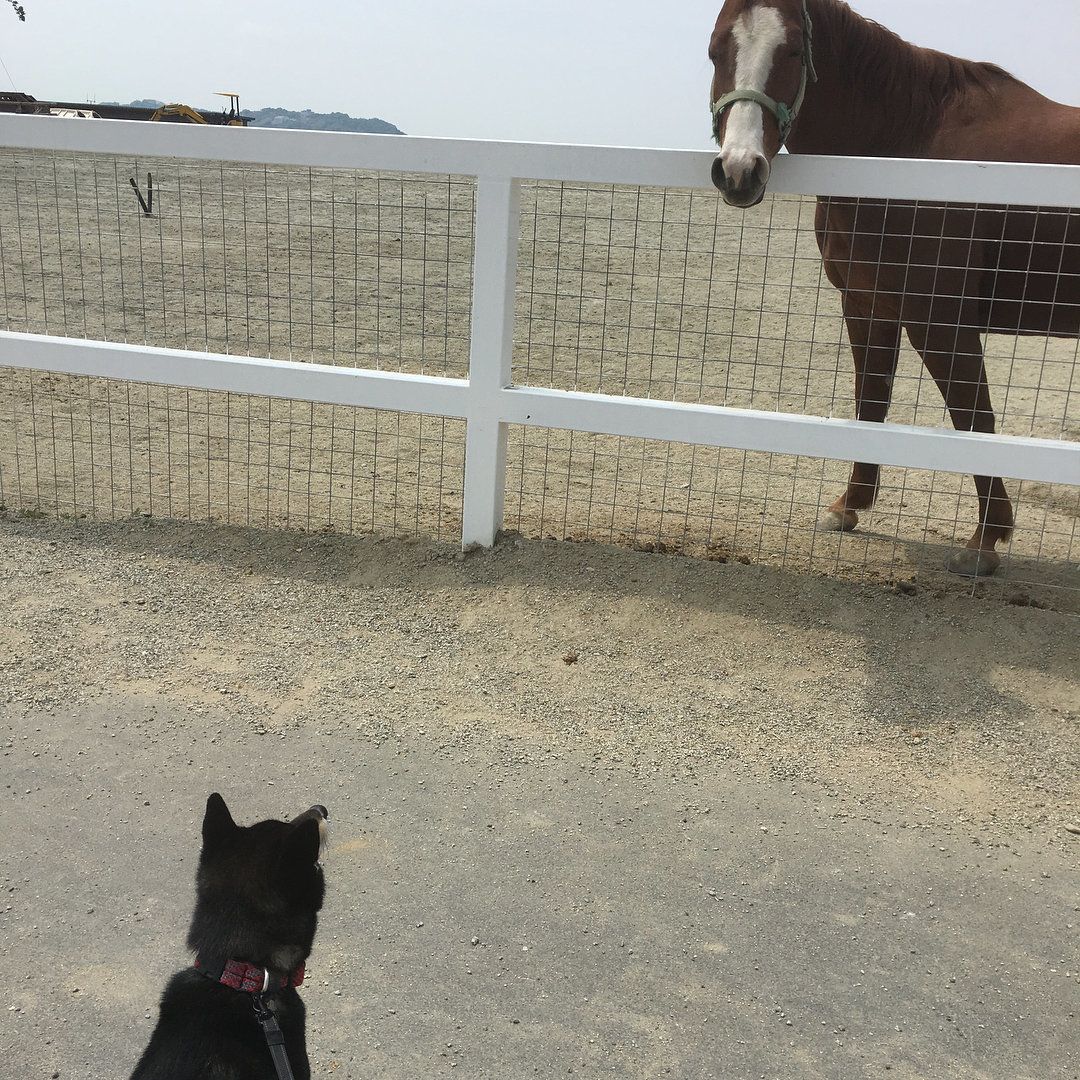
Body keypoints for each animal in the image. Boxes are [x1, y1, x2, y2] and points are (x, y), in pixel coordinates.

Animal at [708, 0, 1080, 576]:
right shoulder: (867, 305)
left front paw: (985, 541)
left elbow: (974, 417)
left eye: (791, 51)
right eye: (715, 50)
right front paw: (848, 506)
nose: (739, 171)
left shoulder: (939, 321)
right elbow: (871, 401)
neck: (906, 148)